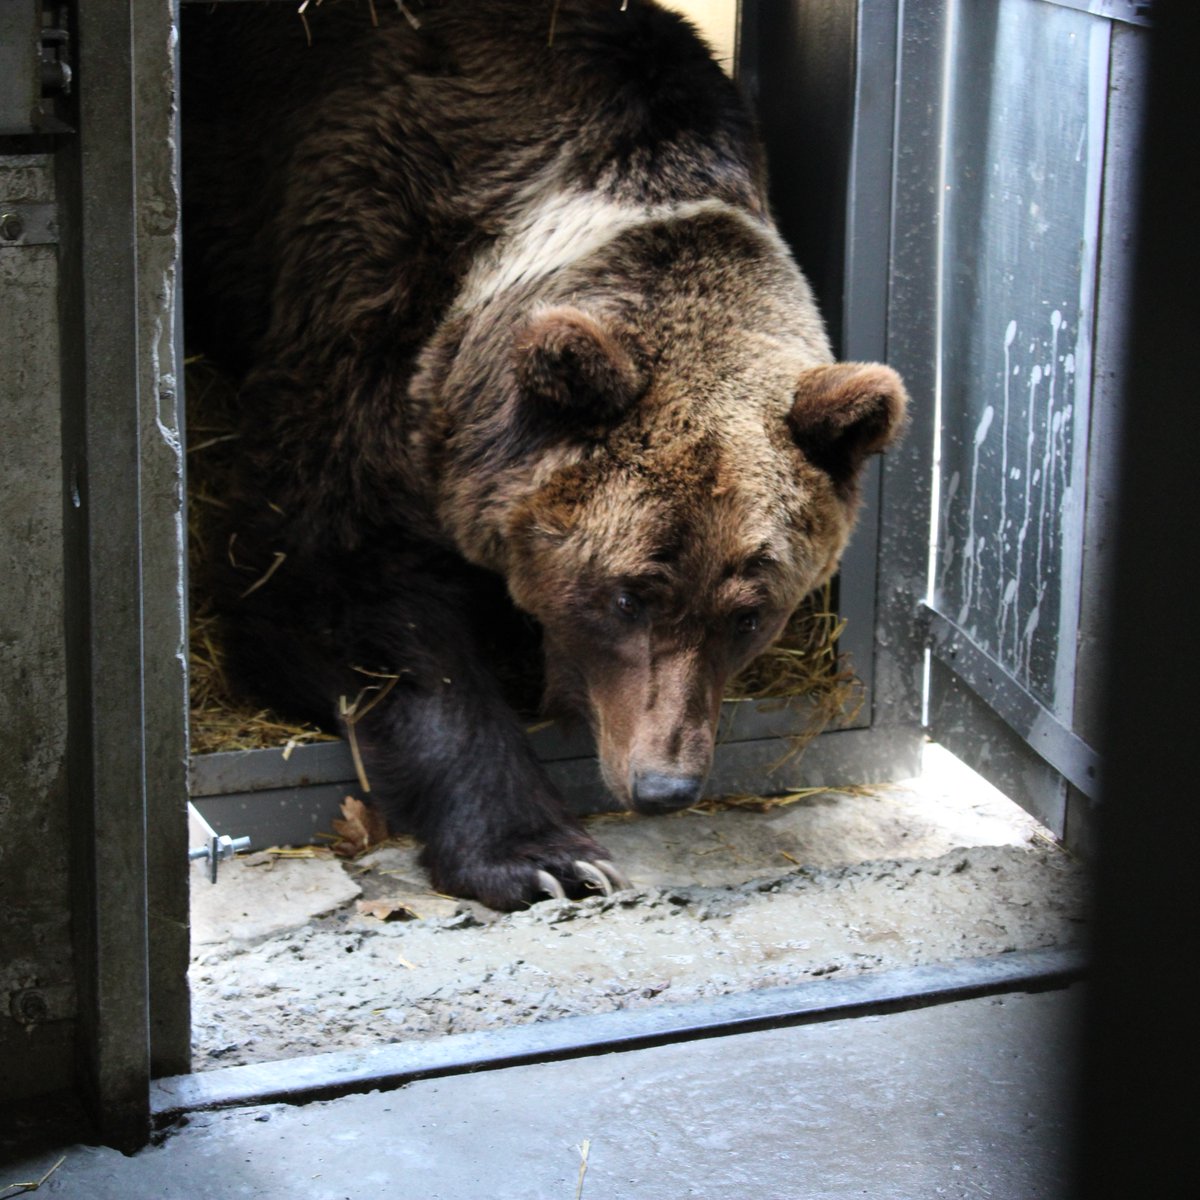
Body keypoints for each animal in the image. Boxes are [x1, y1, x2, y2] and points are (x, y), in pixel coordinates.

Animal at [180, 0, 908, 910]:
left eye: (749, 613)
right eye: (630, 595)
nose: (665, 785)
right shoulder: (369, 288)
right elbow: (327, 579)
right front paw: (542, 854)